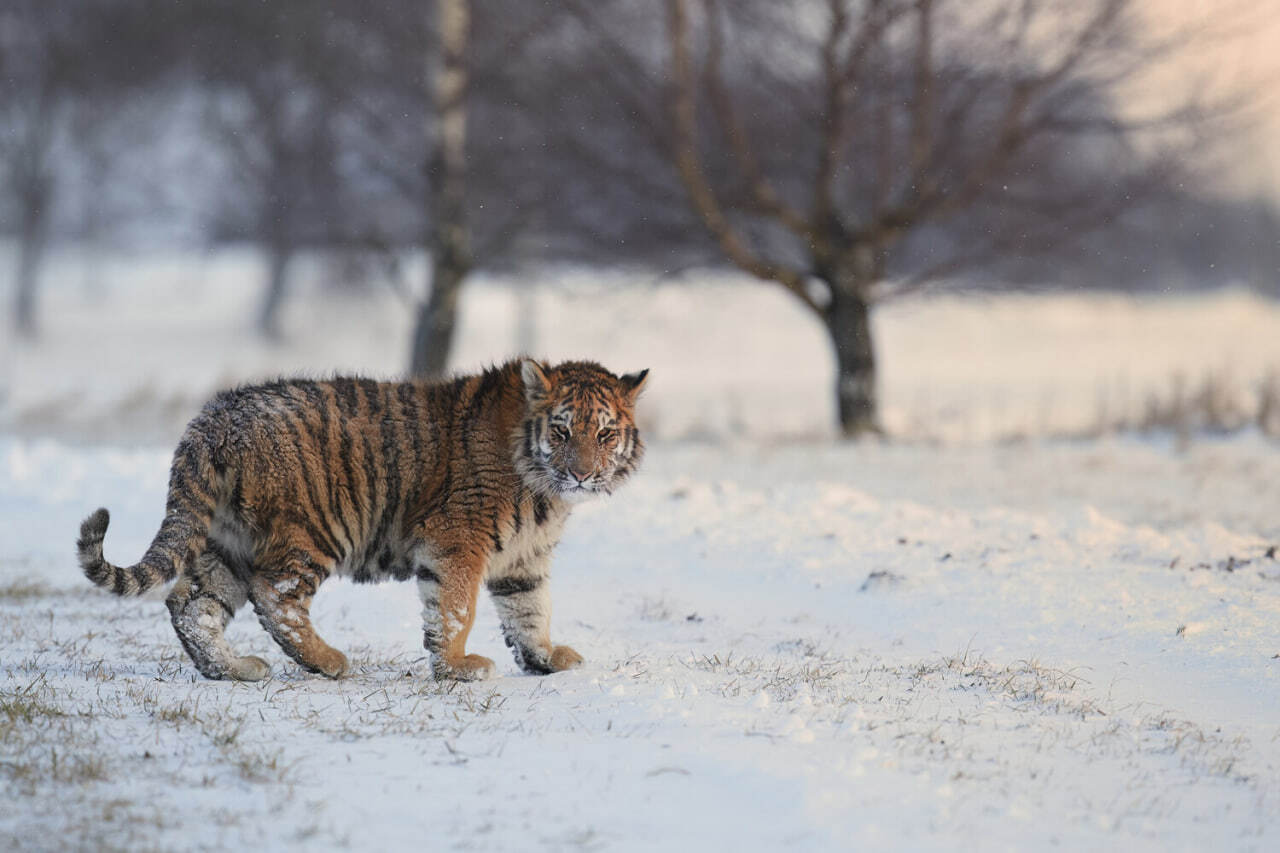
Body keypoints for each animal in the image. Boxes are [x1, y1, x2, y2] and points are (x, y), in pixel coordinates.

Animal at [76, 359, 647, 682]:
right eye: (561, 431)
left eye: (604, 434)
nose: (581, 475)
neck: (542, 484)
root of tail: (214, 416)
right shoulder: (458, 539)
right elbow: (456, 609)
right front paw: (458, 668)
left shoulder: (523, 557)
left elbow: (531, 611)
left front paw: (545, 659)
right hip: (311, 531)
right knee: (274, 596)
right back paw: (327, 661)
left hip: (226, 541)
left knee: (191, 605)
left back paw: (233, 670)